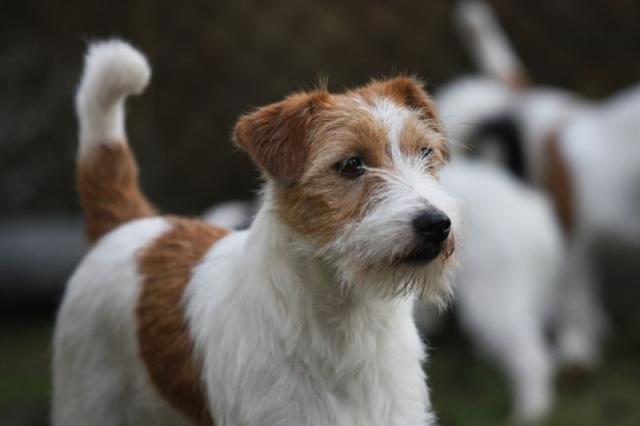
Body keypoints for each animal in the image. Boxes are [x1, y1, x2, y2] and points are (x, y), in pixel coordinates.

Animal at [52, 40, 461, 426]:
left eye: (425, 153)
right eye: (351, 165)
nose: (436, 224)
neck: (350, 322)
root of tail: (129, 224)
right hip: (86, 404)